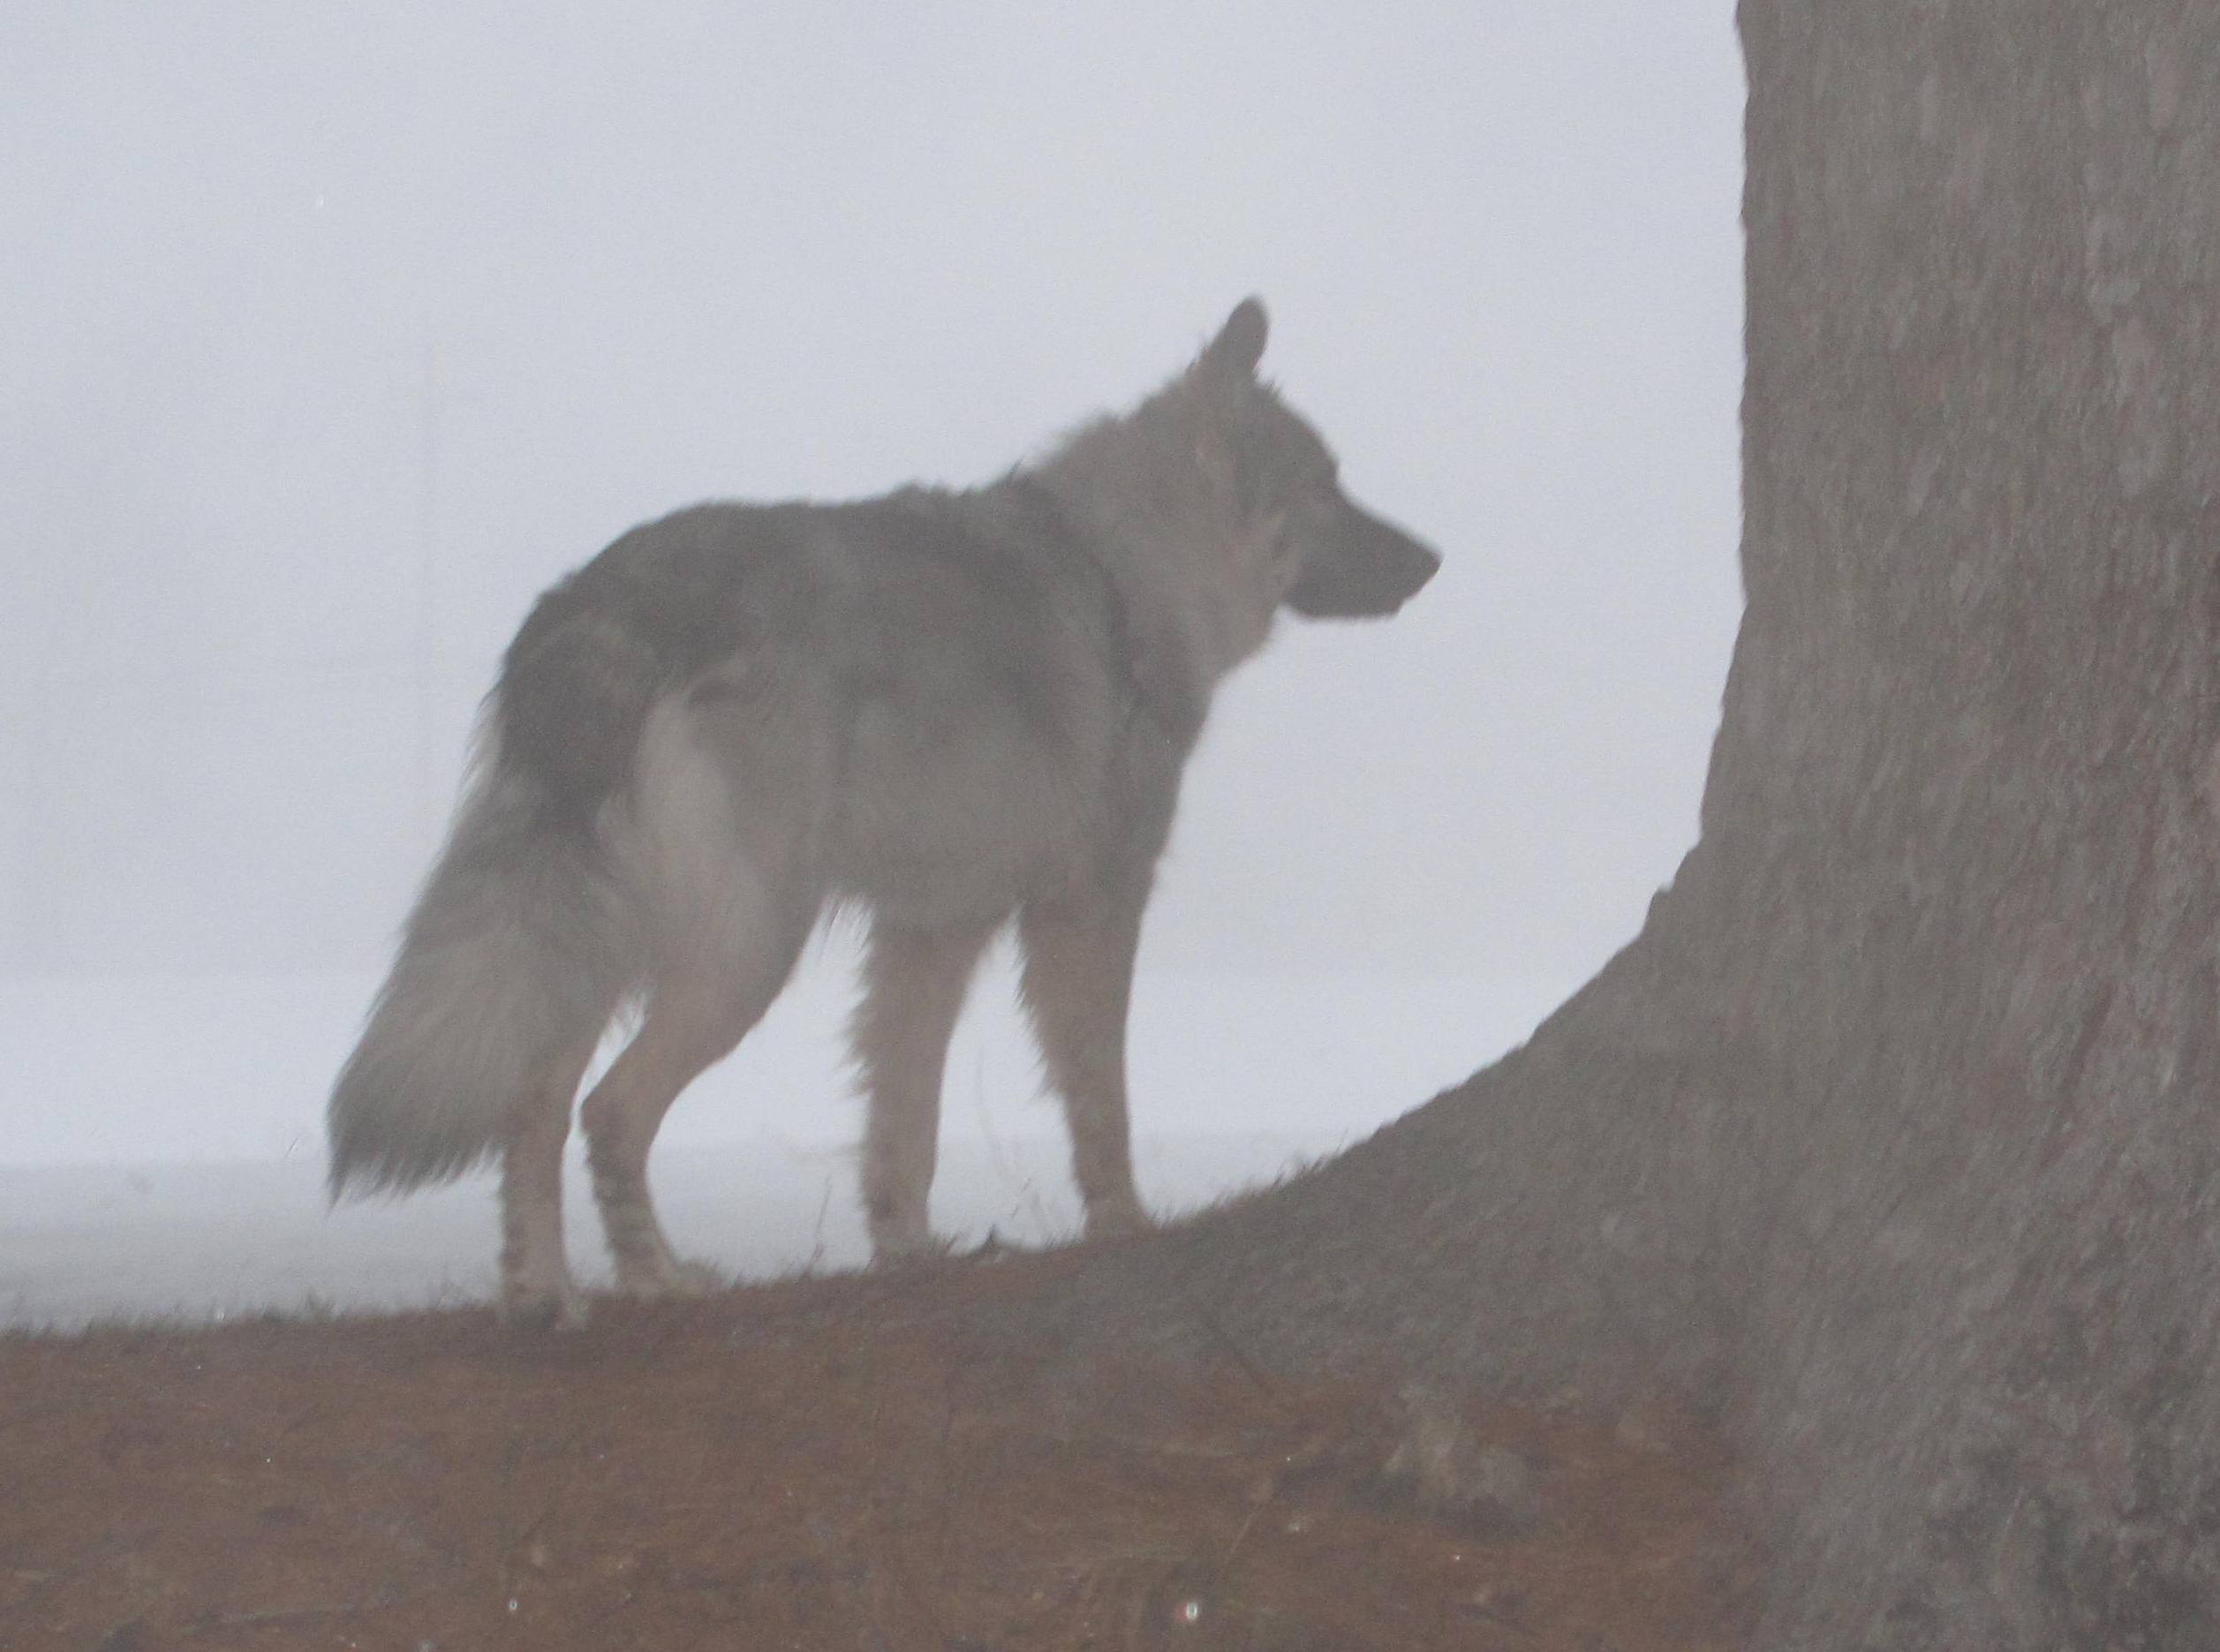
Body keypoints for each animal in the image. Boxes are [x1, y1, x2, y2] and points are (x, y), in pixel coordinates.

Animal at [324, 299, 1438, 1331]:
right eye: (1325, 485)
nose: (1433, 561)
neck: (1123, 568)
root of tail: (610, 596)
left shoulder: (931, 931)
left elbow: (905, 1113)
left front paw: (907, 1250)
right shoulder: (1089, 907)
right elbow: (1098, 1099)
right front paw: (1123, 1223)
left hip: (601, 932)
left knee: (534, 1108)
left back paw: (542, 1293)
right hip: (744, 949)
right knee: (611, 1107)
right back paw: (656, 1280)